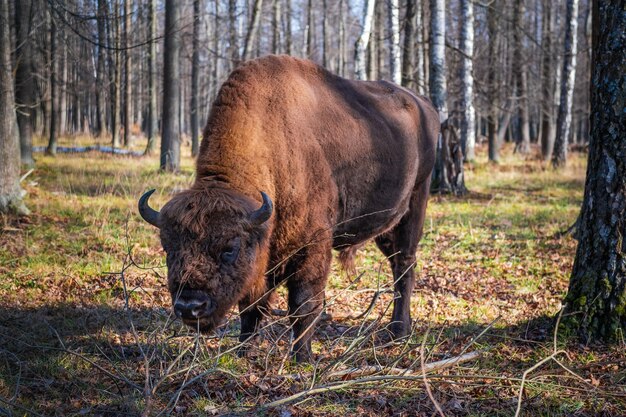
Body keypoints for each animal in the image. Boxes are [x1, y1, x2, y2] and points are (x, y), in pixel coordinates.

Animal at [139, 55, 436, 360]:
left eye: (229, 249)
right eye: (167, 247)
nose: (190, 307)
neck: (270, 143)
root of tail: (424, 104)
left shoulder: (311, 247)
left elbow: (302, 305)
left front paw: (302, 356)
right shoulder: (265, 255)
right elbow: (252, 306)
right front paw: (244, 352)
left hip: (416, 203)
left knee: (404, 266)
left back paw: (398, 331)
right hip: (386, 227)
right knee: (396, 263)